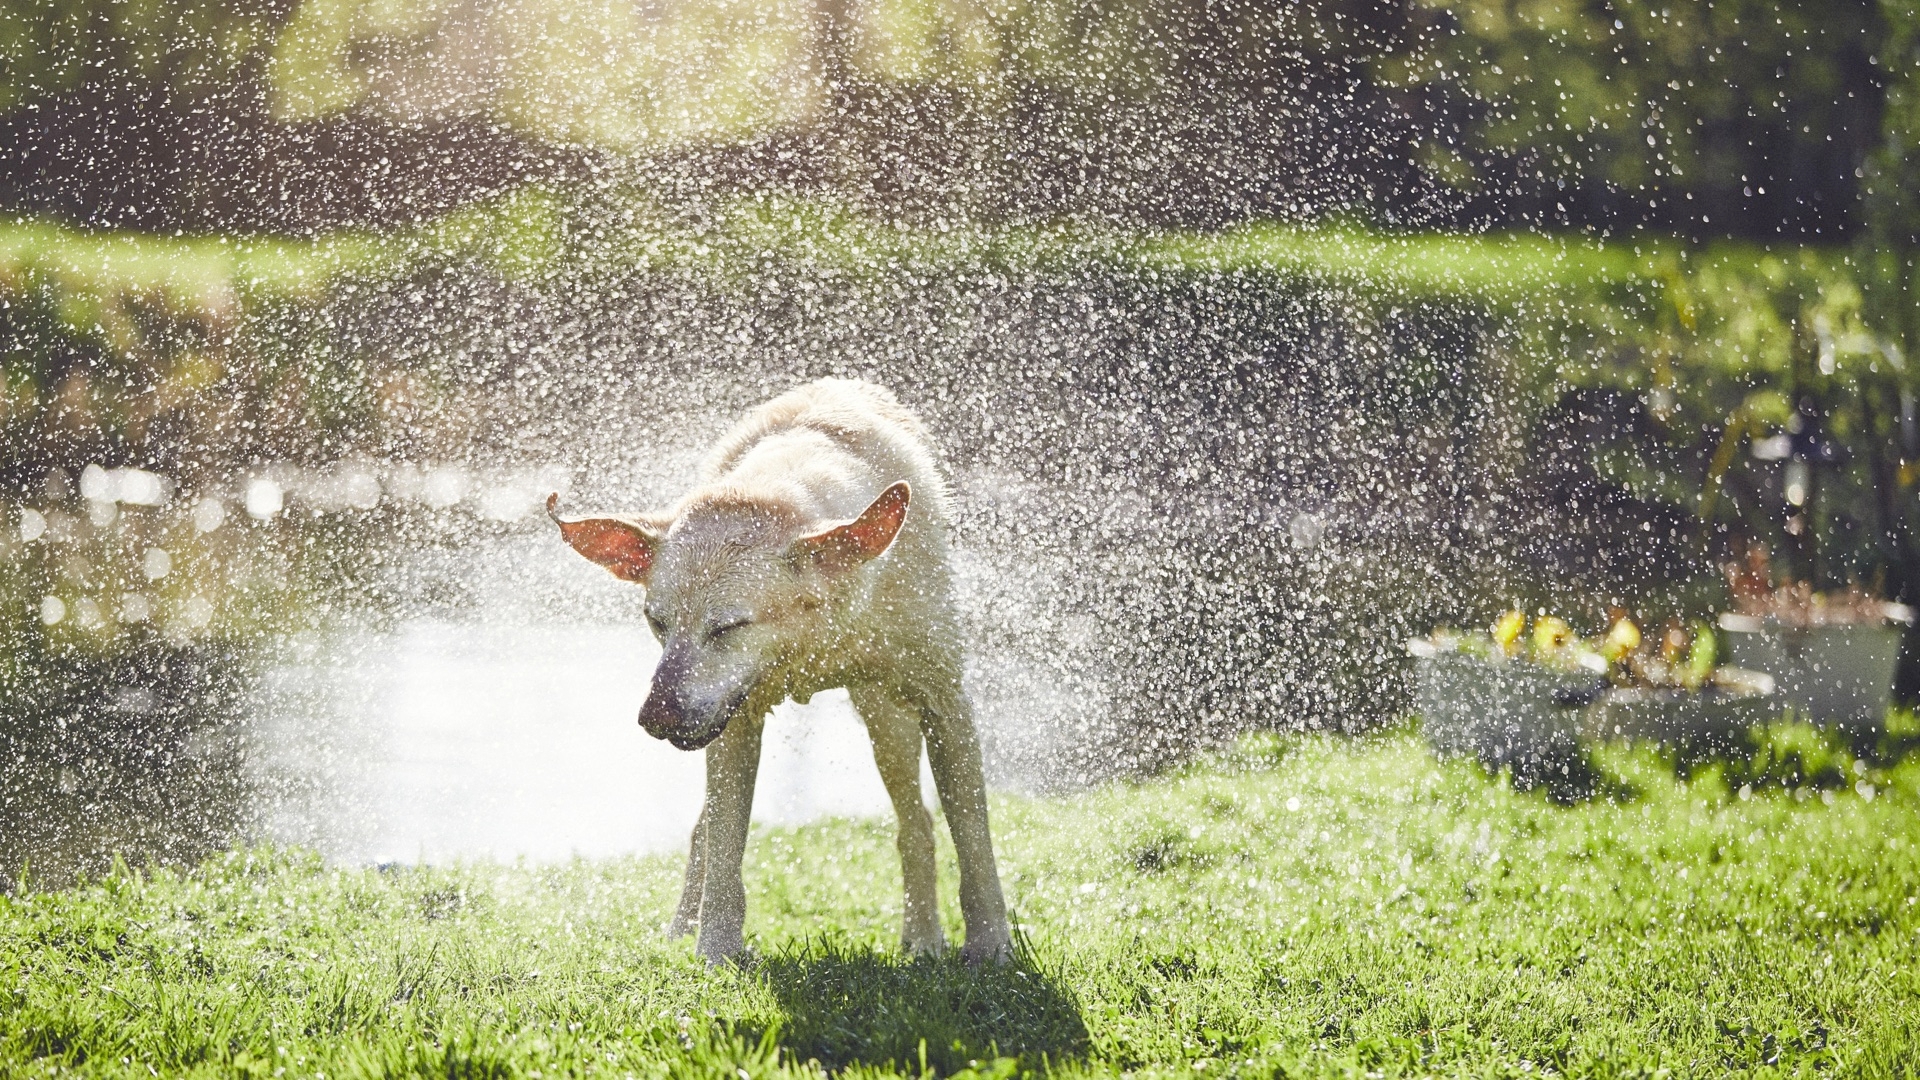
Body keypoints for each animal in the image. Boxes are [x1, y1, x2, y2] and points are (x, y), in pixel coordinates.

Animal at [549, 378, 1013, 957]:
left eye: (727, 627)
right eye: (657, 622)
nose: (655, 718)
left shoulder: (945, 699)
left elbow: (972, 834)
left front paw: (991, 946)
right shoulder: (732, 719)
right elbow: (725, 846)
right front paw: (715, 951)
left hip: (888, 720)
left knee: (916, 824)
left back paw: (923, 937)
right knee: (705, 831)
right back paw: (681, 930)